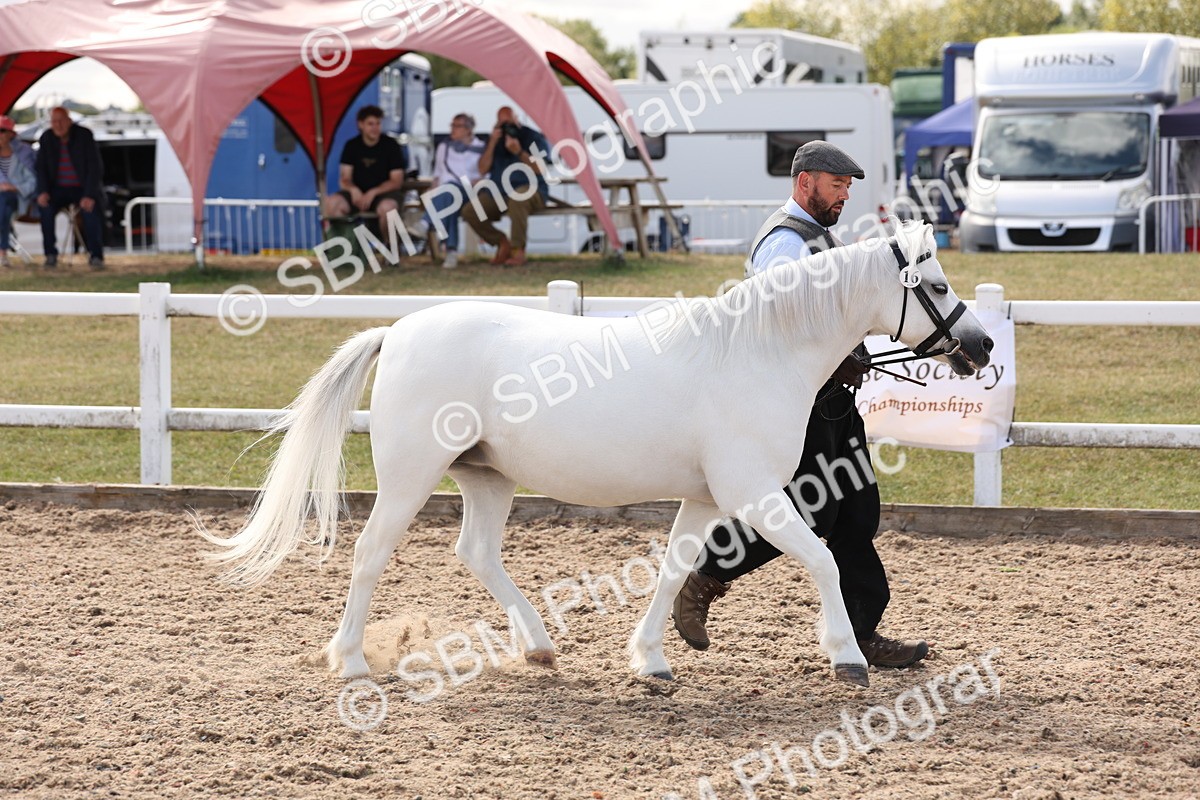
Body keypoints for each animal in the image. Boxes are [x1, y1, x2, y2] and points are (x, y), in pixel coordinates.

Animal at [200, 219, 993, 688]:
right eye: (937, 283)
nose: (981, 345)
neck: (758, 352)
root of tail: (396, 330)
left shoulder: (706, 497)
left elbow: (674, 572)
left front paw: (652, 661)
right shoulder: (755, 492)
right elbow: (825, 558)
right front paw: (847, 656)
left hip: (487, 478)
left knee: (476, 552)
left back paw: (539, 647)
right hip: (409, 476)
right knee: (369, 555)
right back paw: (353, 663)